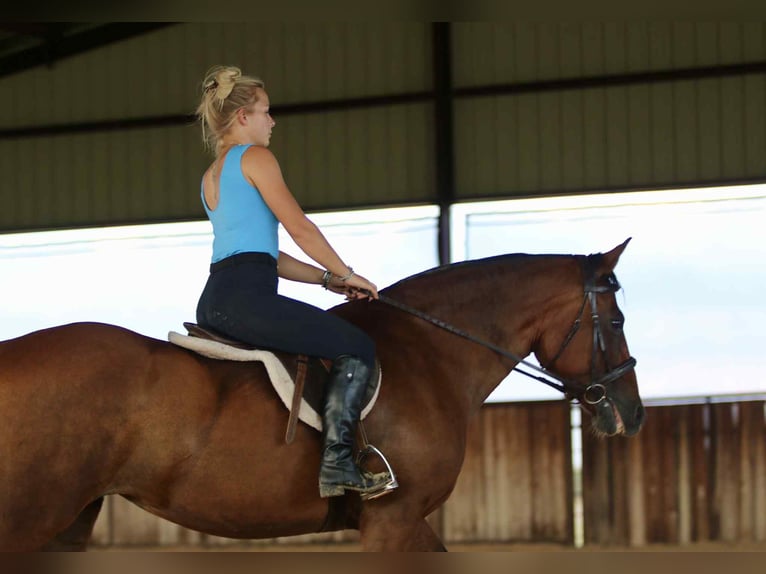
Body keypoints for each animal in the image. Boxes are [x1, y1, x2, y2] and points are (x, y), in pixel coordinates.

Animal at [0, 239, 642, 551]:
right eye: (614, 321)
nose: (632, 415)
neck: (430, 351)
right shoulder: (392, 519)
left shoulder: (407, 520)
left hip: (69, 519)